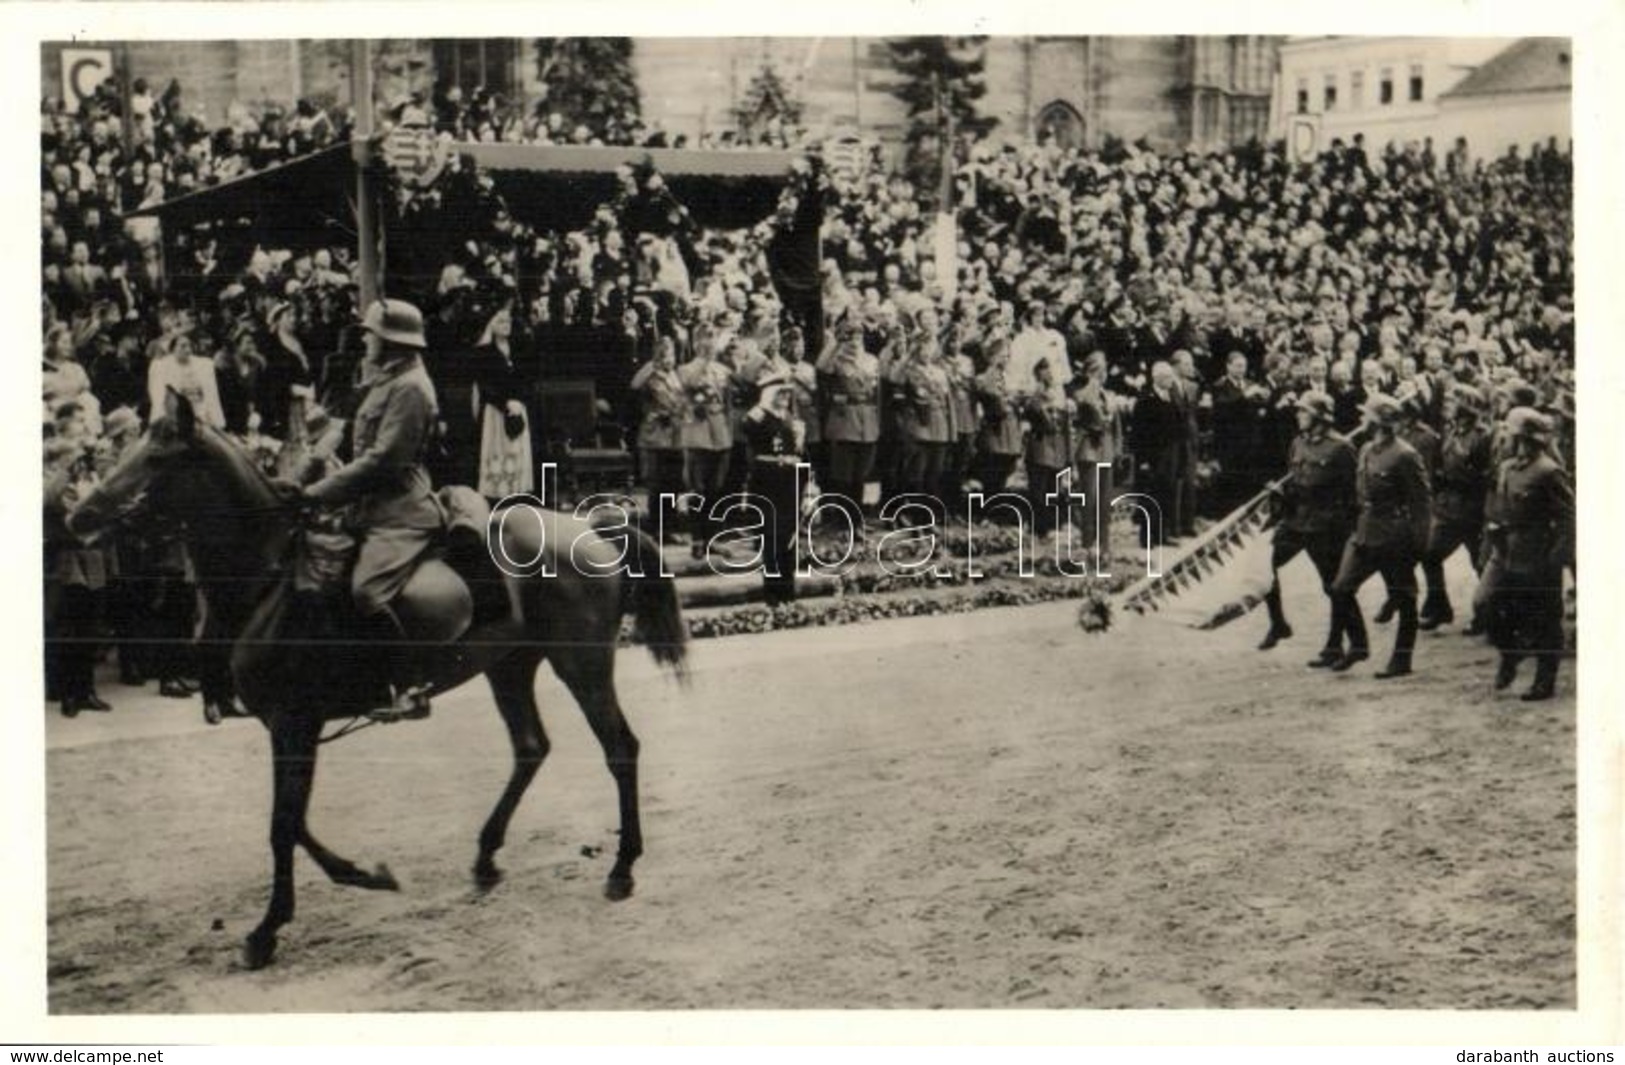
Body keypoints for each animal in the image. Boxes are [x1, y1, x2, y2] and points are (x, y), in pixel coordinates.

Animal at [66, 393, 689, 975]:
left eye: (158, 458)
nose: (78, 518)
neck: (272, 579)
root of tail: (589, 528)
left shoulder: (293, 724)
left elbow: (282, 825)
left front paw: (268, 930)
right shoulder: (289, 727)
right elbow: (293, 822)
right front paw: (361, 874)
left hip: (582, 665)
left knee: (619, 748)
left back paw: (621, 868)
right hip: (509, 666)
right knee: (531, 748)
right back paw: (486, 858)